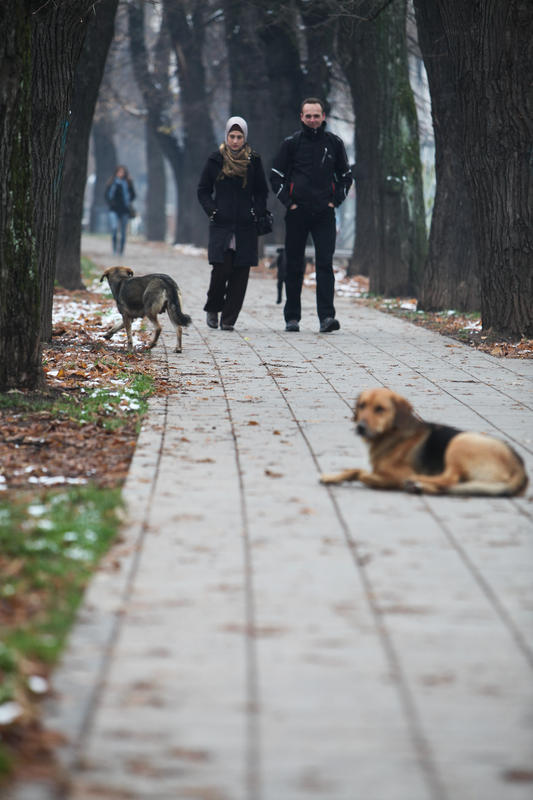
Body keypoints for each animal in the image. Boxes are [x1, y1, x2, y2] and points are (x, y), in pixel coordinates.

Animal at [320, 386, 528, 494]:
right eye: (362, 406)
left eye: (380, 409)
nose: (360, 427)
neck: (392, 435)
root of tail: (520, 467)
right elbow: (353, 470)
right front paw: (331, 477)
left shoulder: (397, 472)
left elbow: (361, 472)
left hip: (459, 442)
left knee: (449, 479)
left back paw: (415, 482)